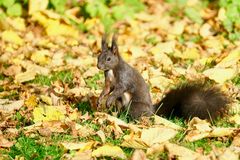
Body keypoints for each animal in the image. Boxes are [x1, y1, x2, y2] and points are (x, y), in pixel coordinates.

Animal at [96, 34, 230, 120]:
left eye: (108, 59)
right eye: (98, 56)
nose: (98, 66)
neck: (112, 70)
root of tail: (152, 111)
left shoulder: (124, 78)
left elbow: (118, 89)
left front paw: (108, 100)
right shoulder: (108, 81)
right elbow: (107, 89)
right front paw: (100, 99)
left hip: (135, 106)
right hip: (121, 103)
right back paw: (116, 116)